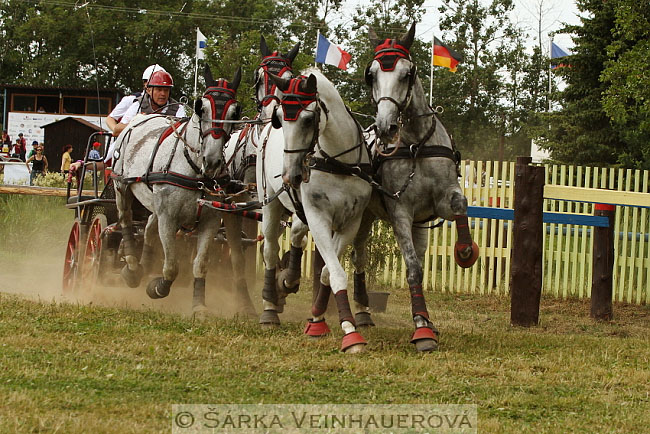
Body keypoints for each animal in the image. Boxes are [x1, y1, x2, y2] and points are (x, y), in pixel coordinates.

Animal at [110, 65, 254, 316]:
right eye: (200, 107)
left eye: (235, 111)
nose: (212, 161)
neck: (195, 171)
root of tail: (140, 118)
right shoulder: (169, 218)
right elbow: (171, 267)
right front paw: (157, 287)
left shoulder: (210, 220)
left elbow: (200, 264)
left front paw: (199, 305)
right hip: (122, 186)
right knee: (126, 219)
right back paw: (132, 268)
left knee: (148, 228)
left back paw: (144, 264)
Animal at [258, 68, 370, 352]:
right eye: (280, 121)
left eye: (309, 119)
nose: (291, 176)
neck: (337, 164)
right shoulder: (319, 218)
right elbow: (337, 273)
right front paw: (351, 333)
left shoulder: (350, 222)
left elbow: (328, 272)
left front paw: (318, 318)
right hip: (270, 204)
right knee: (270, 250)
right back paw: (269, 308)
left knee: (297, 235)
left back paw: (289, 280)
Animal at [352, 22, 478, 350]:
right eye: (371, 74)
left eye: (407, 73)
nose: (386, 127)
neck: (416, 145)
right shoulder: (400, 213)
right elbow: (413, 267)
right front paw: (421, 327)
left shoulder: (439, 203)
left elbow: (460, 205)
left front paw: (465, 251)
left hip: (388, 220)